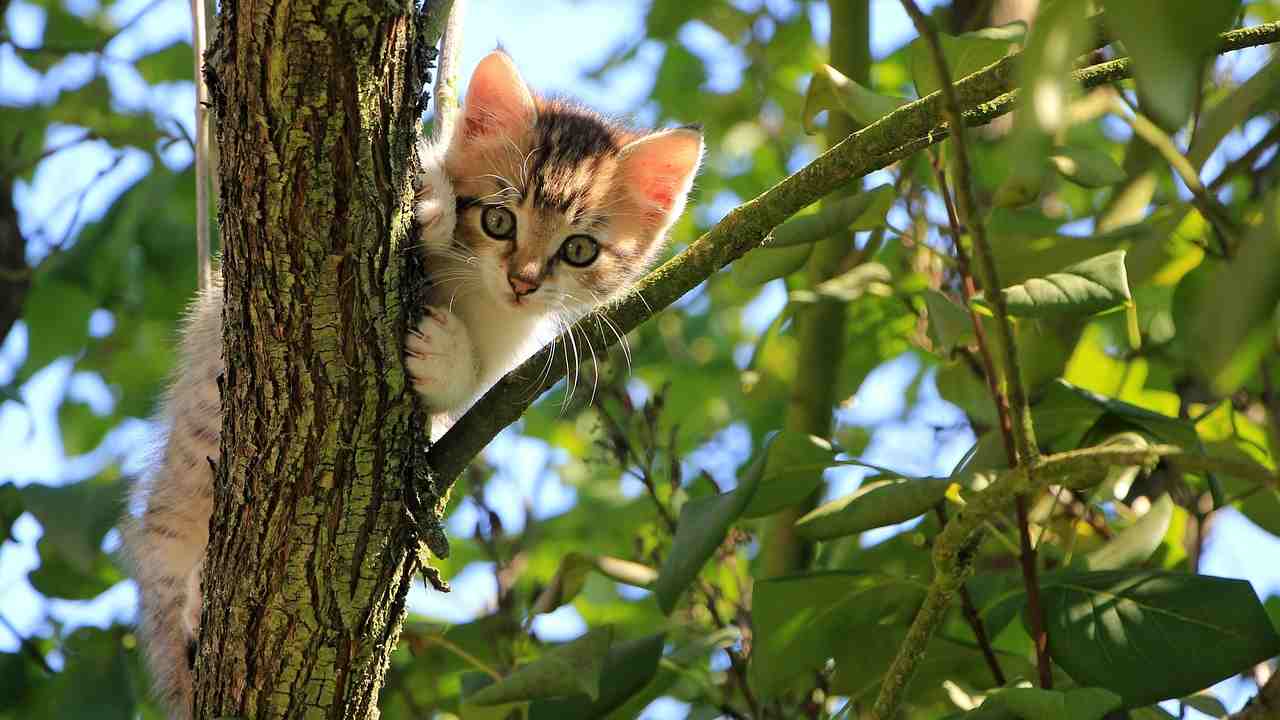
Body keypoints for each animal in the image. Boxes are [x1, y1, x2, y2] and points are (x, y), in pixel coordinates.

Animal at [124, 47, 706, 712]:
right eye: (499, 219)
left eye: (579, 249)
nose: (524, 281)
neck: (474, 289)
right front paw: (432, 202)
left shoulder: (507, 353)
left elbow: (472, 385)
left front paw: (445, 355)